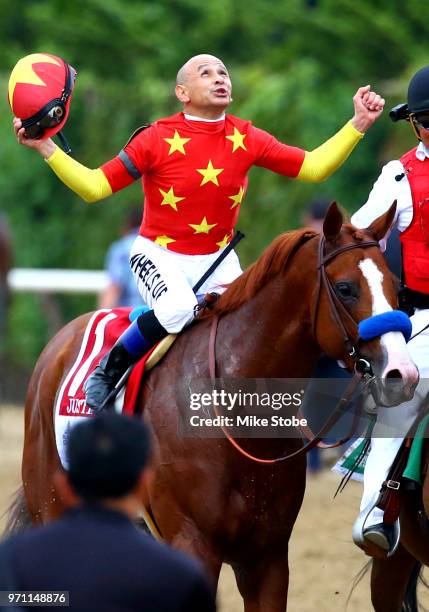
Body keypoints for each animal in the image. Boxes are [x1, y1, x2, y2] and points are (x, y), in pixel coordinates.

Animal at [5, 204, 416, 608]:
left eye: (395, 288)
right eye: (346, 288)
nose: (403, 373)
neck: (237, 412)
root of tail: (58, 344)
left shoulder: (266, 558)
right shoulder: (193, 545)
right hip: (53, 509)